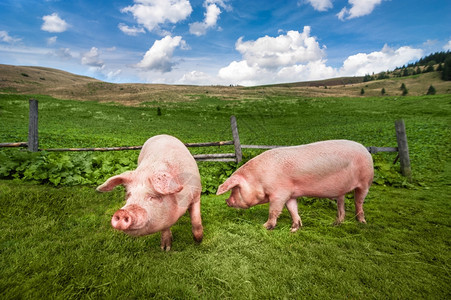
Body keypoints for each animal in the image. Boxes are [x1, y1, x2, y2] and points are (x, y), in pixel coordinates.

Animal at [216, 139, 374, 231]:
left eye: (235, 189)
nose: (227, 201)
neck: (259, 179)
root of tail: (365, 150)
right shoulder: (290, 194)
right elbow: (293, 209)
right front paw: (294, 228)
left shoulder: (279, 194)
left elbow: (273, 210)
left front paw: (265, 226)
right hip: (341, 190)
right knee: (341, 204)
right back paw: (336, 223)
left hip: (365, 181)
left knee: (358, 202)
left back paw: (362, 222)